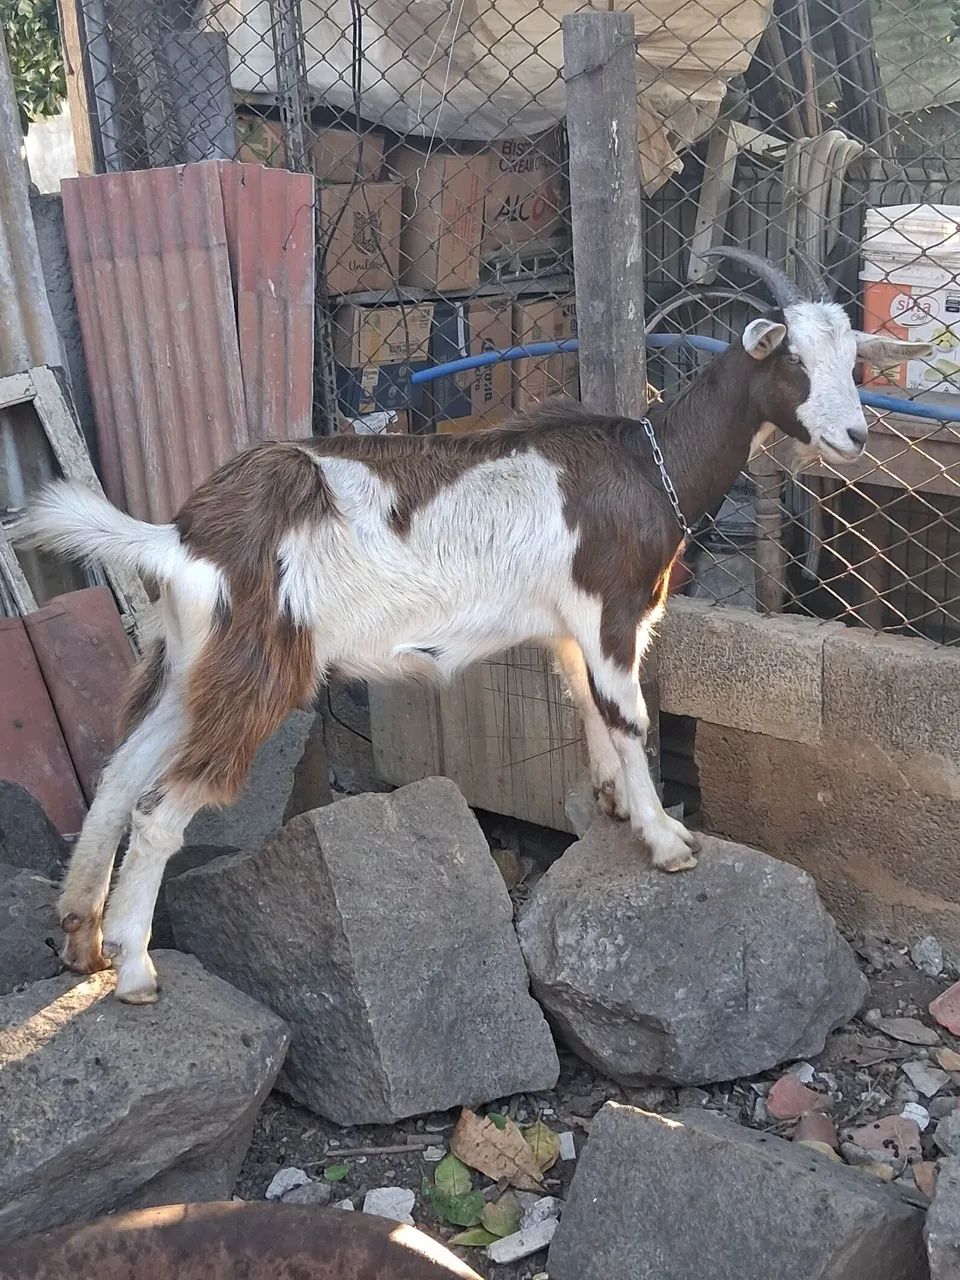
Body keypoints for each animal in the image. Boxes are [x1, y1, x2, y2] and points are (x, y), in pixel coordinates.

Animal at [20, 248, 930, 1004]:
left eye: (851, 360)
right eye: (793, 361)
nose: (856, 435)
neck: (649, 464)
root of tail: (185, 537)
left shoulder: (567, 625)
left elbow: (589, 708)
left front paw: (612, 803)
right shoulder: (613, 607)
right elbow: (631, 717)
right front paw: (666, 838)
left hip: (191, 662)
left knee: (119, 774)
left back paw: (81, 936)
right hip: (260, 667)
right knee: (160, 809)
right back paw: (136, 968)